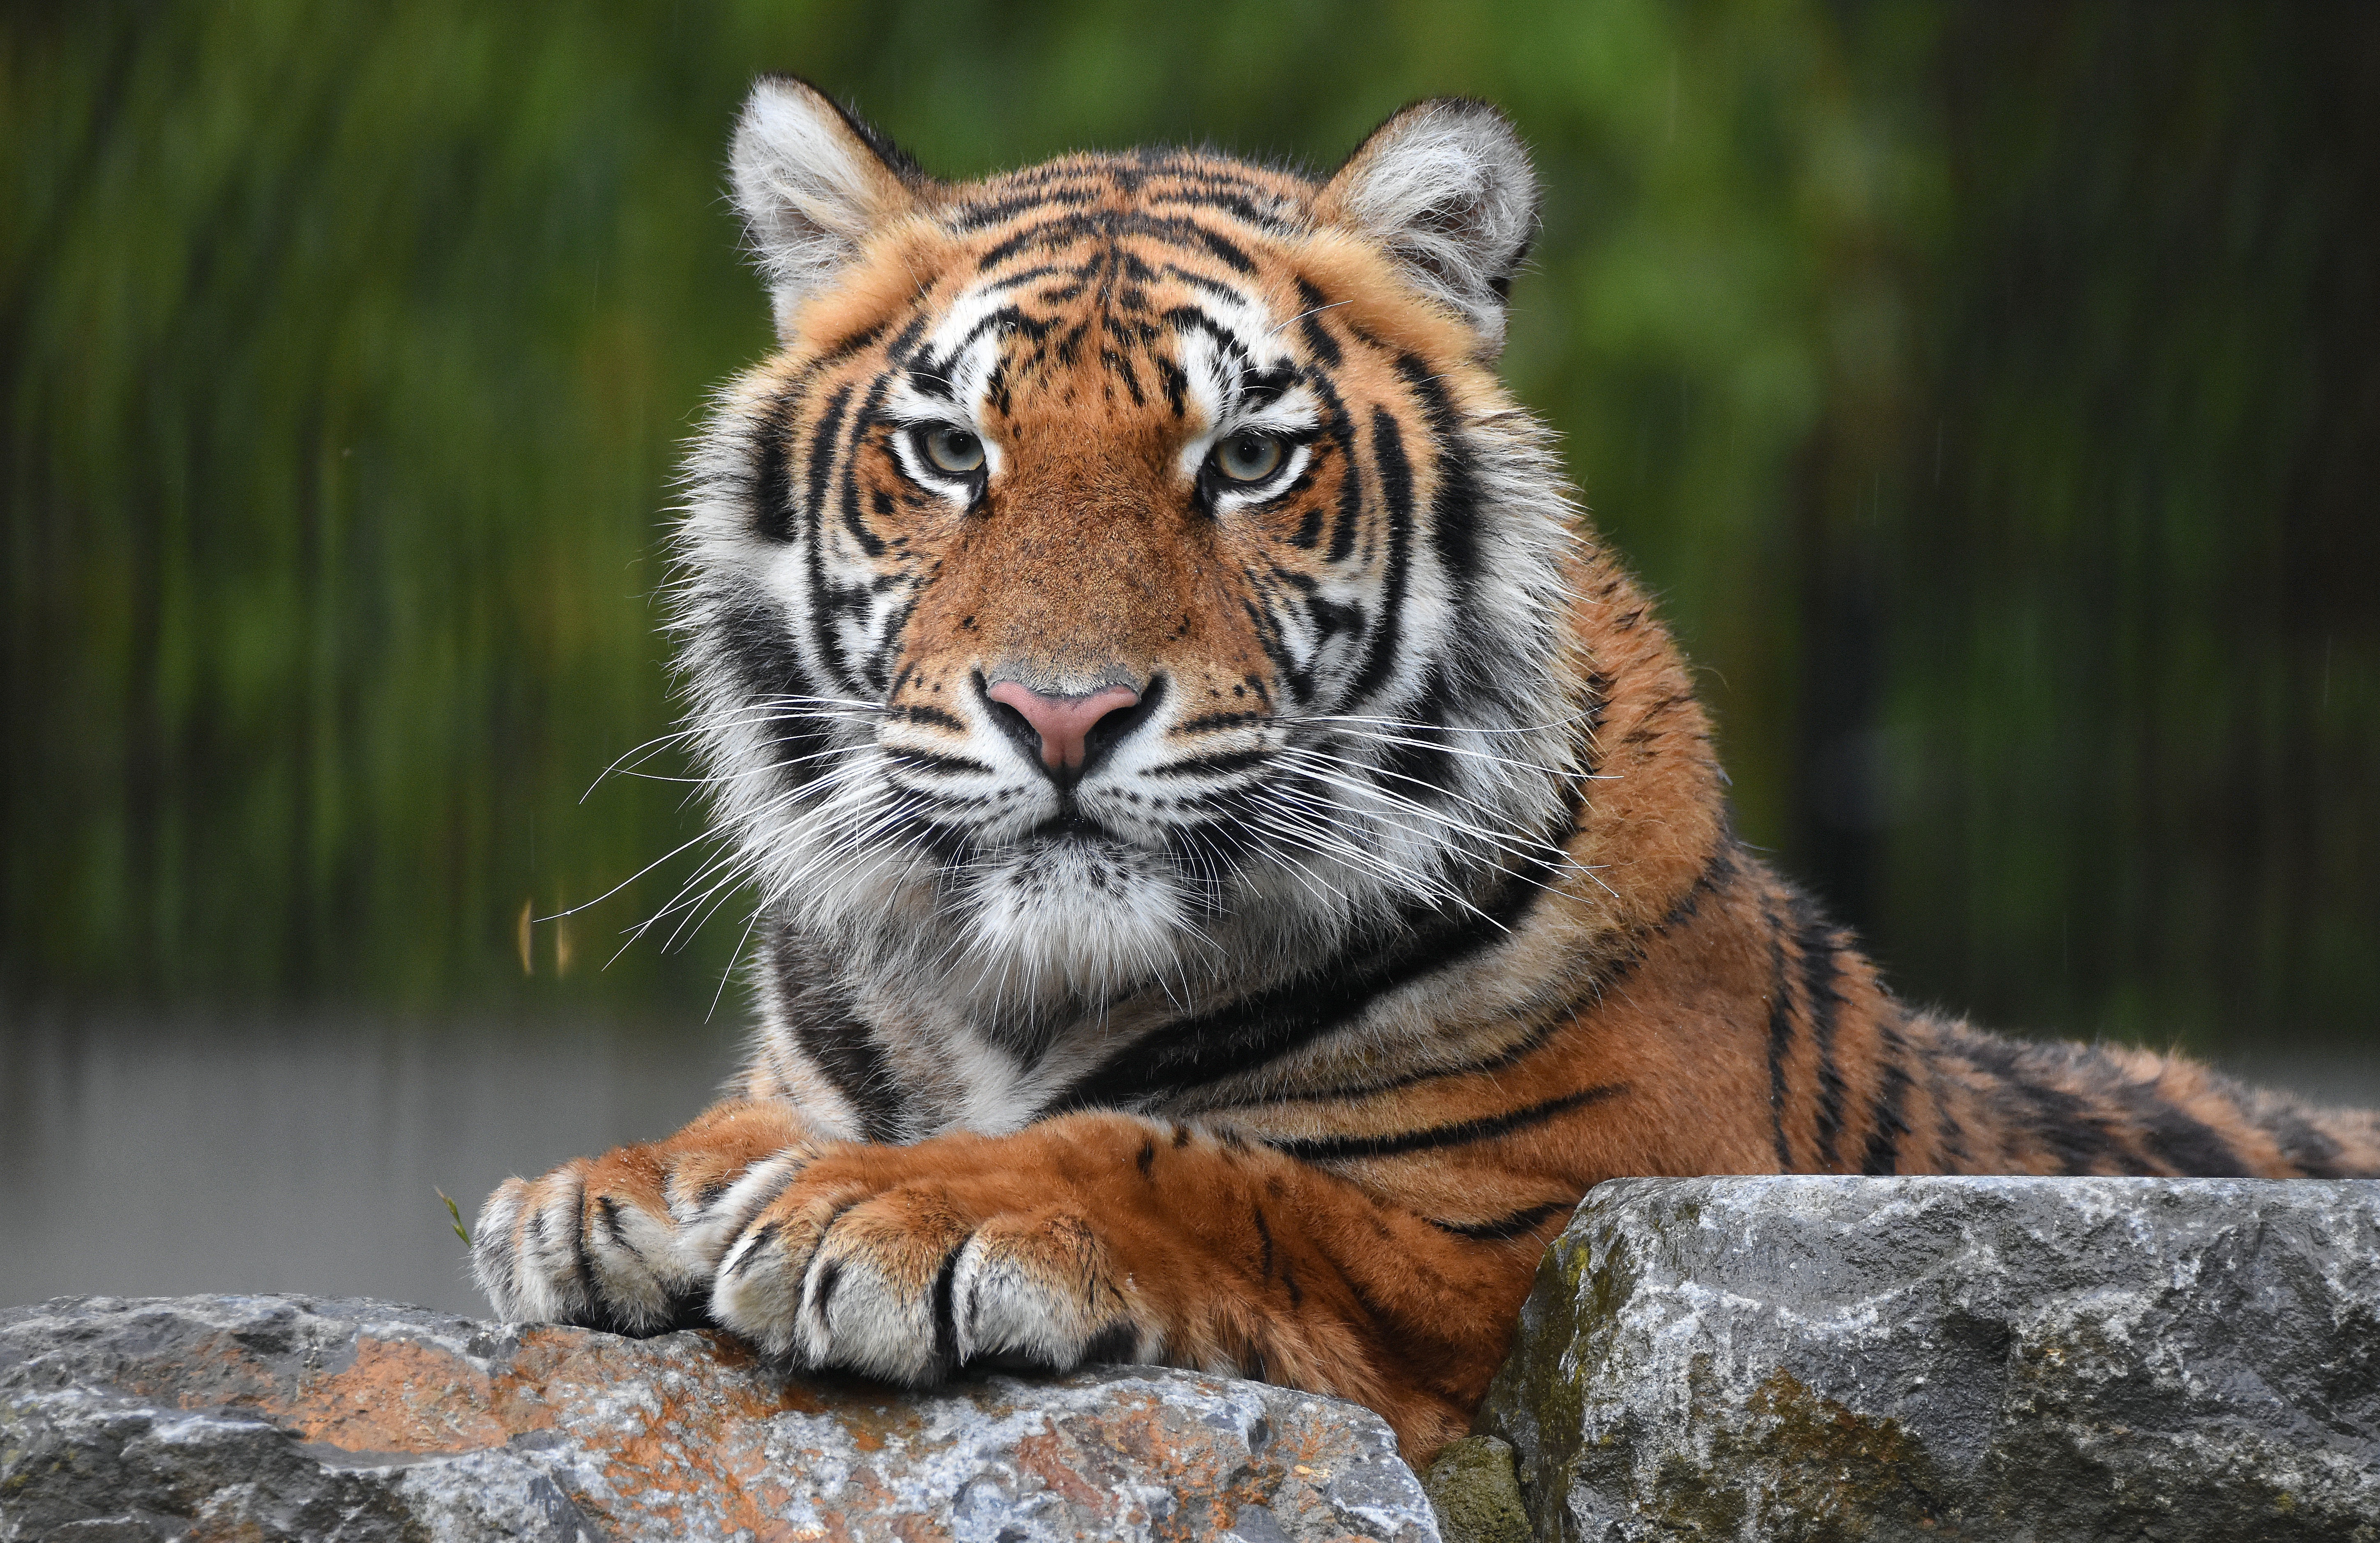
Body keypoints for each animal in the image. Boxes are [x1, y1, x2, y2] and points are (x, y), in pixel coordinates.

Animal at [472, 76, 2380, 1464]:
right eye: (948, 452)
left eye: (1246, 460)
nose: (1061, 713)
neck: (1018, 995)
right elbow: (758, 1120)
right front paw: (614, 1193)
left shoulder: (1536, 1223)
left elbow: (1195, 1170)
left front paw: (877, 1212)